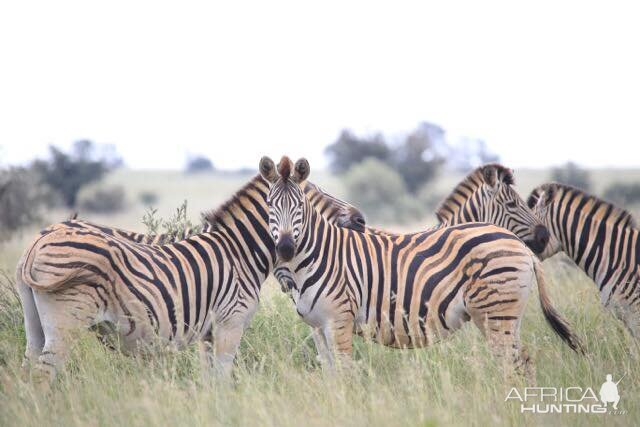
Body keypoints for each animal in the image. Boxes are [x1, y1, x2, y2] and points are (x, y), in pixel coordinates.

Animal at [15, 176, 364, 382]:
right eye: (313, 194)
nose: (360, 219)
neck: (238, 250)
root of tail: (36, 242)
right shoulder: (229, 323)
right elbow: (223, 378)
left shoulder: (206, 332)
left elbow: (209, 381)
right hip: (66, 322)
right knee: (44, 375)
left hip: (35, 324)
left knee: (28, 369)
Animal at [258, 156, 584, 374]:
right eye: (270, 207)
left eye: (300, 207)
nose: (284, 249)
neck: (319, 253)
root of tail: (520, 246)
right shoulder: (318, 327)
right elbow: (331, 376)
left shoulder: (339, 322)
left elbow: (346, 376)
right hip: (503, 317)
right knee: (520, 363)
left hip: (497, 313)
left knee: (514, 365)